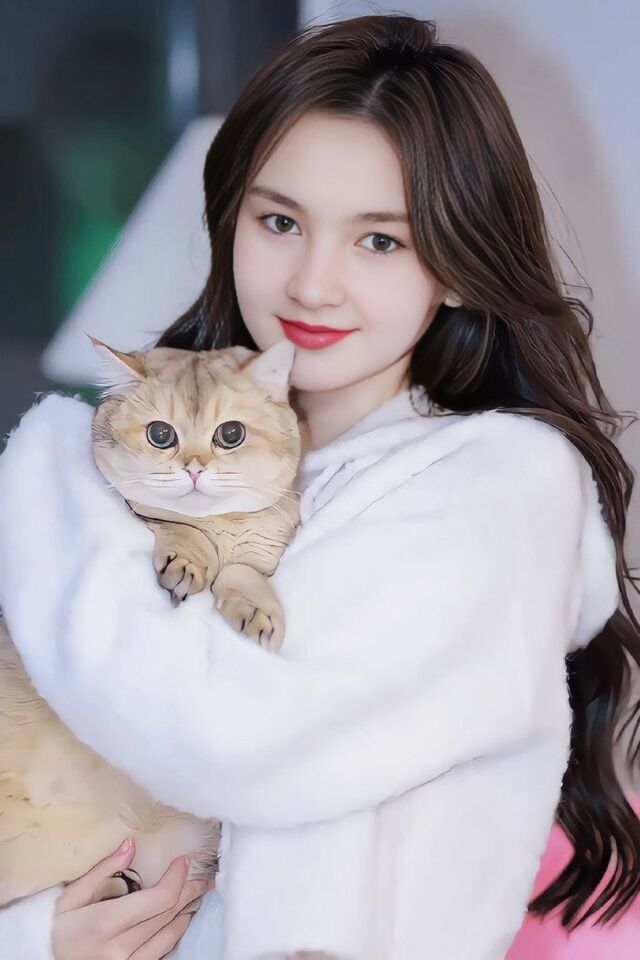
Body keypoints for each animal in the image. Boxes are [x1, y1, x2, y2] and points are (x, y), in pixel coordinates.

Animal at [0, 339, 301, 907]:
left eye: (231, 434)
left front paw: (254, 610)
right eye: (161, 435)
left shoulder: (263, 547)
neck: (220, 526)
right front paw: (186, 561)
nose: (194, 468)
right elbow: (178, 533)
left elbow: (246, 572)